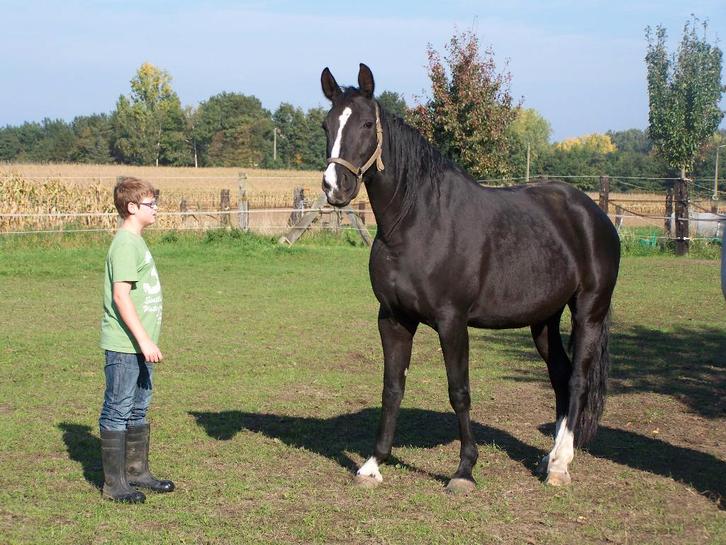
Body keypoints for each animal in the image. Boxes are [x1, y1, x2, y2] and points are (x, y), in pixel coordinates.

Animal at [320, 63, 620, 493]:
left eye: (365, 123)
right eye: (327, 125)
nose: (335, 187)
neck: (418, 221)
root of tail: (593, 214)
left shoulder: (452, 322)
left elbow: (459, 391)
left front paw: (464, 471)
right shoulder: (393, 319)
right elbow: (392, 388)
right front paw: (373, 465)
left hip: (588, 313)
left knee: (578, 380)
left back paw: (560, 465)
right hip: (543, 320)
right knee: (561, 377)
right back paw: (548, 458)